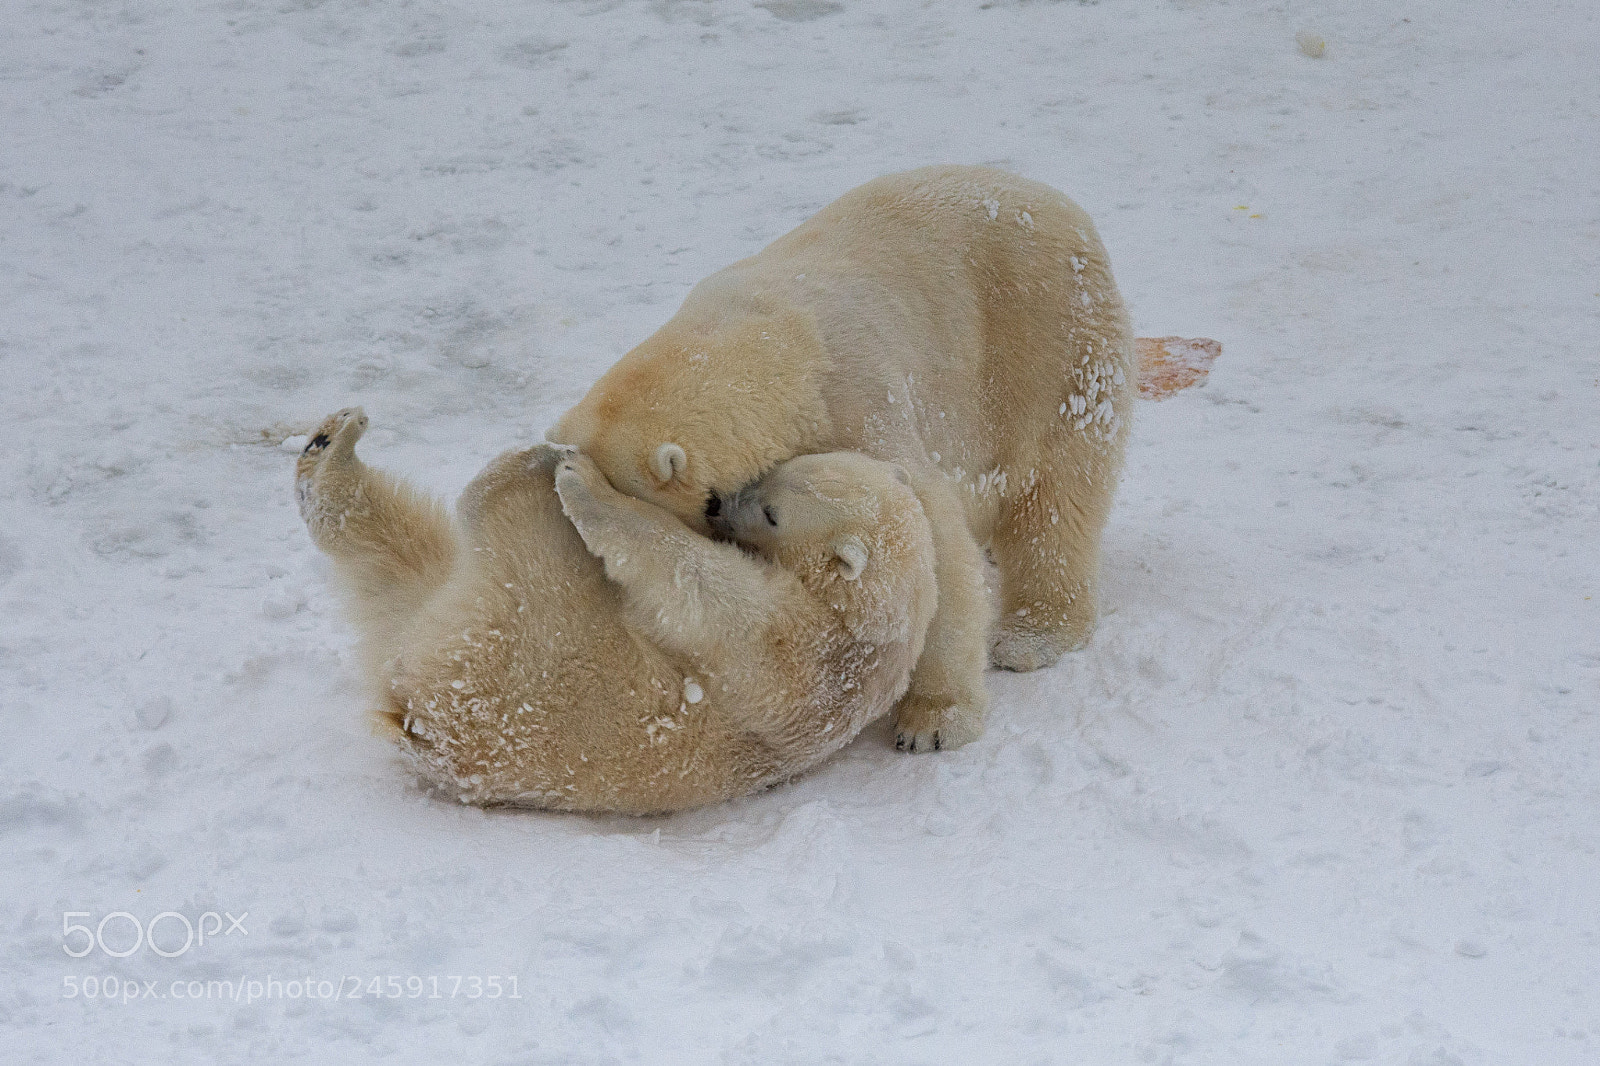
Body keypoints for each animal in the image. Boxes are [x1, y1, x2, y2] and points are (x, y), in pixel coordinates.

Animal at [294, 407, 937, 814]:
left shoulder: (809, 659)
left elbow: (708, 591)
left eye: (773, 512)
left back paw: (532, 459)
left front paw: (584, 481)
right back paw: (327, 445)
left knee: (483, 519)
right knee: (397, 558)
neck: (871, 623)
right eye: (779, 469)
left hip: (524, 626)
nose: (719, 503)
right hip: (457, 611)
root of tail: (416, 717)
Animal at [546, 164, 1135, 752]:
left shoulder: (860, 406)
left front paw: (933, 720)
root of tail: (1061, 204)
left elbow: (931, 543)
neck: (780, 348)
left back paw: (1032, 634)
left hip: (1049, 343)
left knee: (1055, 491)